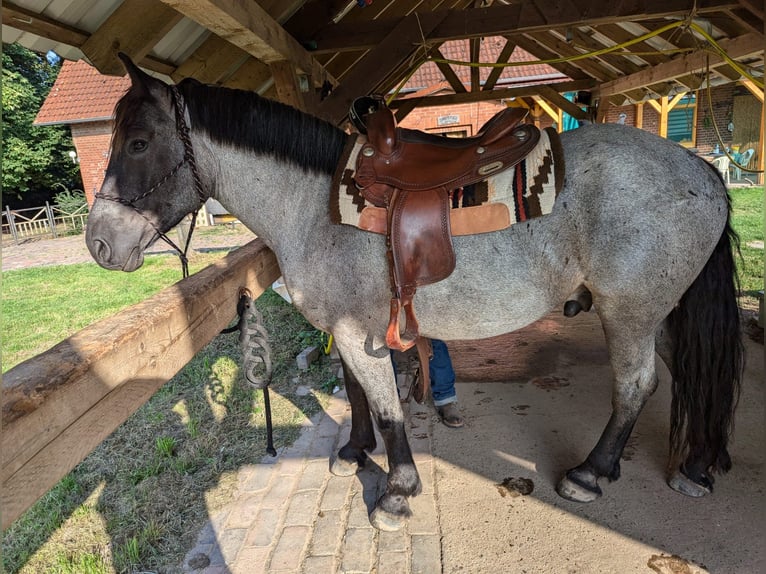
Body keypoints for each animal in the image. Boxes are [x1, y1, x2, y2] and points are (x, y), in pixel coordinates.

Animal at [85, 56, 744, 532]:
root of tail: (703, 171)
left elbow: (387, 409)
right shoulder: (347, 329)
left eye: (139, 142)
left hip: (628, 313)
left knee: (636, 385)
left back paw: (590, 473)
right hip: (660, 314)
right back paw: (694, 464)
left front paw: (397, 494)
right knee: (686, 378)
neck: (314, 207)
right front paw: (354, 451)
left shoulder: (360, 332)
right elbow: (356, 394)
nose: (99, 242)